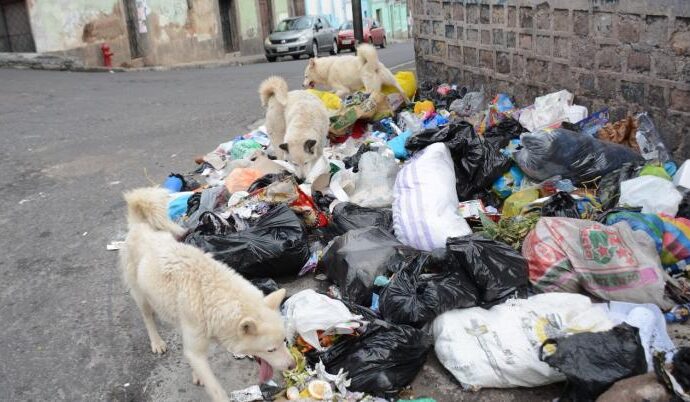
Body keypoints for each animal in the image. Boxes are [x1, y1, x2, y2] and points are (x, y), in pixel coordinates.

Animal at [121, 188, 292, 402]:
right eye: (271, 349)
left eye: (284, 341)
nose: (293, 365)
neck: (210, 294)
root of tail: (139, 224)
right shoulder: (197, 347)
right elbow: (216, 389)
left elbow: (195, 358)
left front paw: (197, 374)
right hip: (141, 296)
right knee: (147, 317)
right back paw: (157, 342)